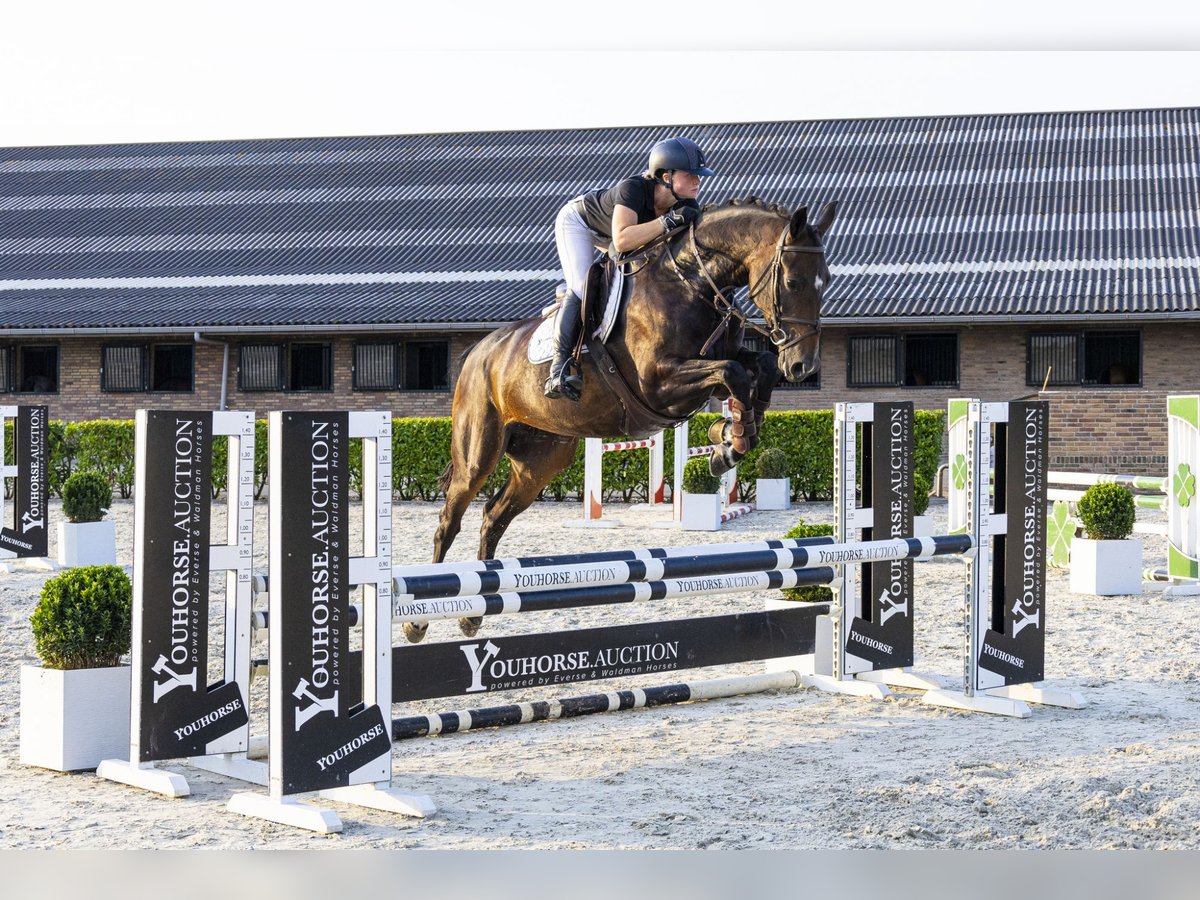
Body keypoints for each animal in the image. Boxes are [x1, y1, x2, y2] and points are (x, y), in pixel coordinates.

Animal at [403, 200, 835, 643]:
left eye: (826, 282)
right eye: (794, 282)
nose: (803, 366)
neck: (692, 282)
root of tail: (478, 352)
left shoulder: (713, 366)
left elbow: (757, 366)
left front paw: (730, 438)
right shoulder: (659, 383)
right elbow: (733, 372)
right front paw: (729, 443)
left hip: (541, 461)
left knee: (494, 517)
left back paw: (473, 616)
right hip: (478, 451)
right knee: (450, 520)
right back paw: (417, 621)